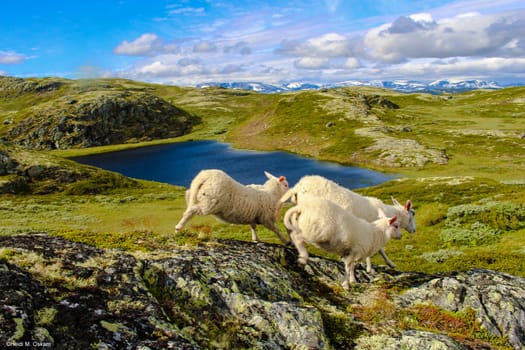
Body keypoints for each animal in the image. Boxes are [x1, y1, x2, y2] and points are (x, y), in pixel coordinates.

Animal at [280, 176, 416, 272]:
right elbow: (378, 249)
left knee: (290, 225)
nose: (414, 230)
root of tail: (298, 185)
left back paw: (292, 243)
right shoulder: (370, 231)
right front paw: (375, 267)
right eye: (413, 214)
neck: (386, 212)